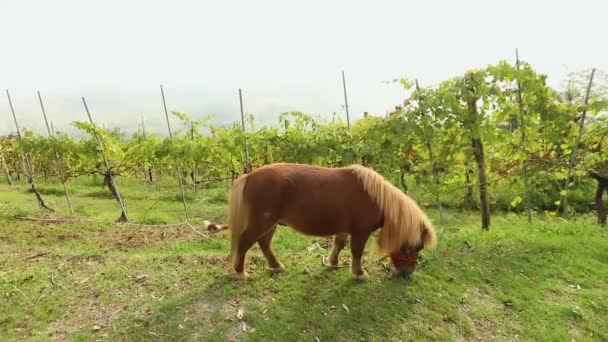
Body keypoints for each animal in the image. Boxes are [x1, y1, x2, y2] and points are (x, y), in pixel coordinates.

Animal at [226, 163, 434, 280]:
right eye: (412, 248)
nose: (407, 273)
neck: (376, 197)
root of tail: (249, 176)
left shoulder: (344, 228)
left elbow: (339, 244)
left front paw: (333, 263)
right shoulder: (361, 231)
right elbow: (356, 252)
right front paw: (359, 274)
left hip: (271, 224)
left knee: (264, 243)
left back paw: (276, 266)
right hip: (262, 222)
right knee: (245, 242)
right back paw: (241, 272)